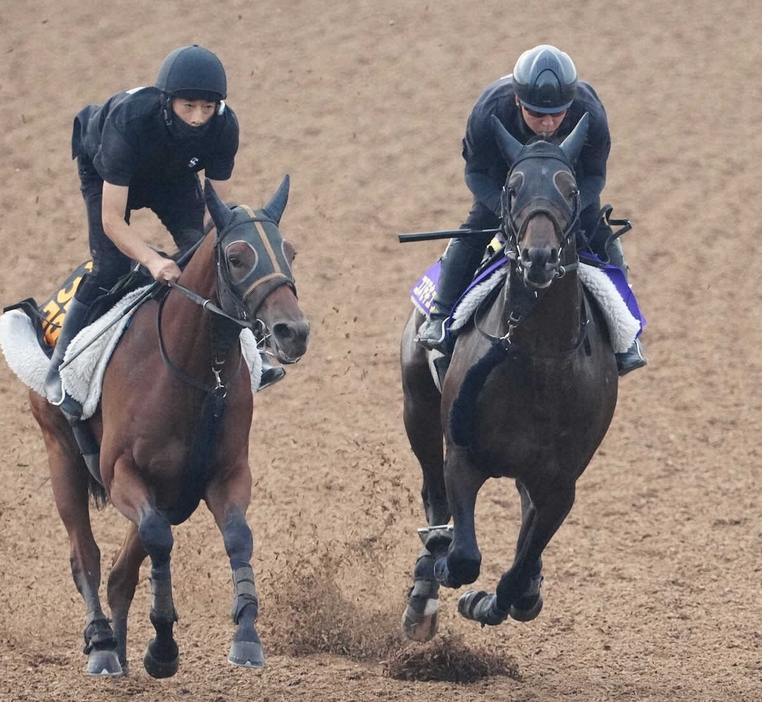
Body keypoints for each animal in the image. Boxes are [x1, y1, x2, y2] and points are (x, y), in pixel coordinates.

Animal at [27, 177, 308, 676]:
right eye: (237, 257)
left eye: (288, 251)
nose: (293, 331)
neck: (195, 371)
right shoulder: (121, 473)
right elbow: (158, 539)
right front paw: (161, 645)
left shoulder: (224, 475)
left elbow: (238, 537)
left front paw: (246, 637)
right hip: (61, 452)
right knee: (86, 555)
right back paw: (102, 644)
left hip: (168, 493)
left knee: (121, 572)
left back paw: (118, 650)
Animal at [398, 114, 616, 644]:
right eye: (513, 187)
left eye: (570, 188)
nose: (538, 256)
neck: (538, 358)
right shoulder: (462, 455)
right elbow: (462, 556)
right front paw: (439, 570)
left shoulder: (561, 484)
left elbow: (517, 572)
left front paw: (494, 600)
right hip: (418, 406)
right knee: (433, 495)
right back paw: (425, 584)